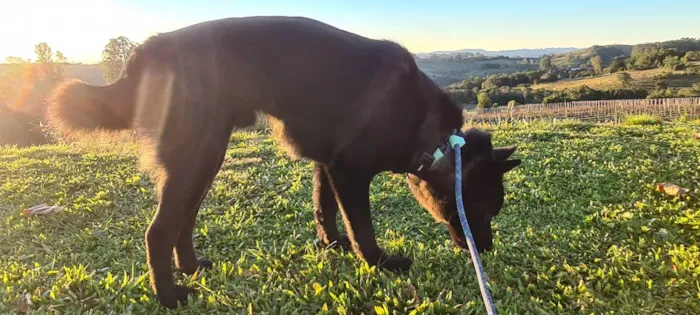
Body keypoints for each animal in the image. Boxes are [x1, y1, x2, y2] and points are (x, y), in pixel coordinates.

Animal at [46, 16, 520, 310]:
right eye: (483, 210)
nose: (486, 250)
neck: (436, 141)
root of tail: (150, 47)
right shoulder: (350, 173)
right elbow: (361, 227)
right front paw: (377, 262)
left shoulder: (327, 167)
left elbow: (324, 209)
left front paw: (331, 245)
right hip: (199, 154)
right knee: (158, 230)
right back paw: (169, 295)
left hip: (203, 159)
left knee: (183, 220)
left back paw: (192, 268)